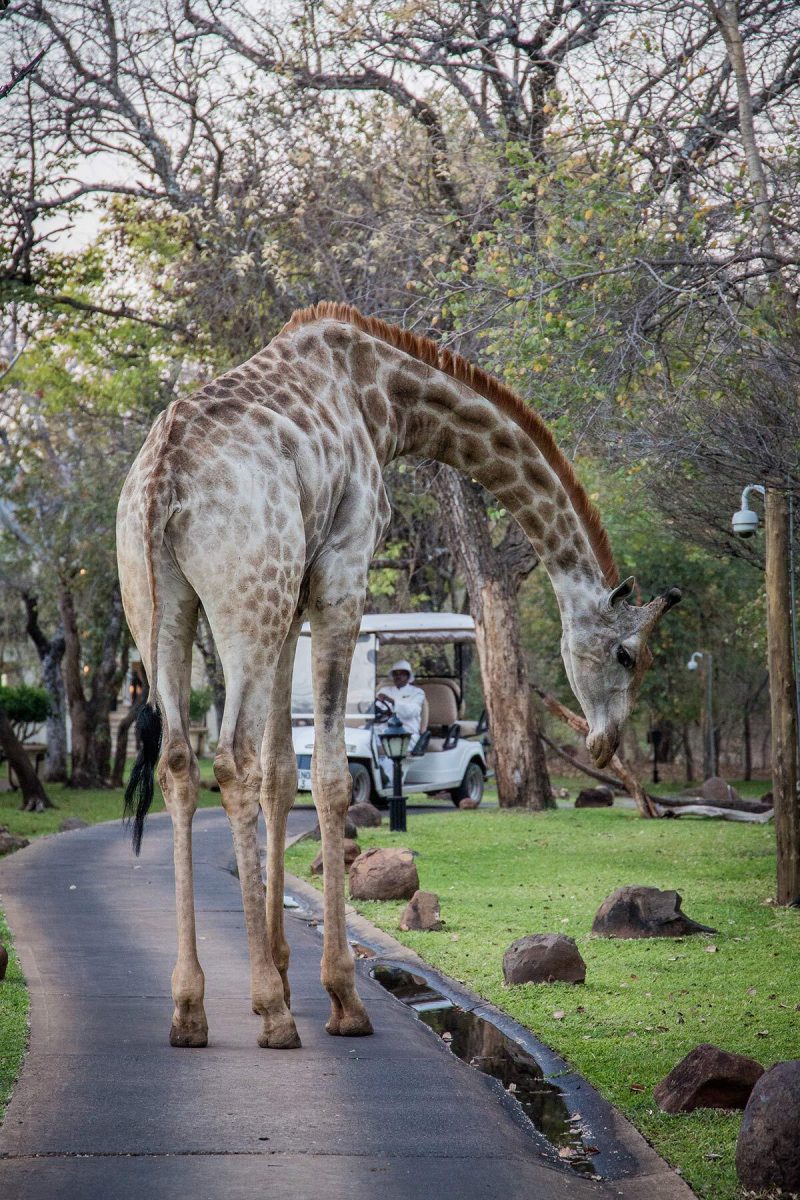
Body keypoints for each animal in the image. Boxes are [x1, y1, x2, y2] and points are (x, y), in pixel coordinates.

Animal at [116, 301, 681, 1049]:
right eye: (626, 655)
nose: (604, 741)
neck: (385, 398)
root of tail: (163, 478)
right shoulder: (342, 571)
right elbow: (327, 776)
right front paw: (337, 998)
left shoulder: (295, 595)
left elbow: (281, 773)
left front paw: (289, 975)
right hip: (243, 593)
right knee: (229, 756)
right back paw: (269, 1015)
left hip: (167, 599)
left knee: (182, 760)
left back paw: (189, 1010)